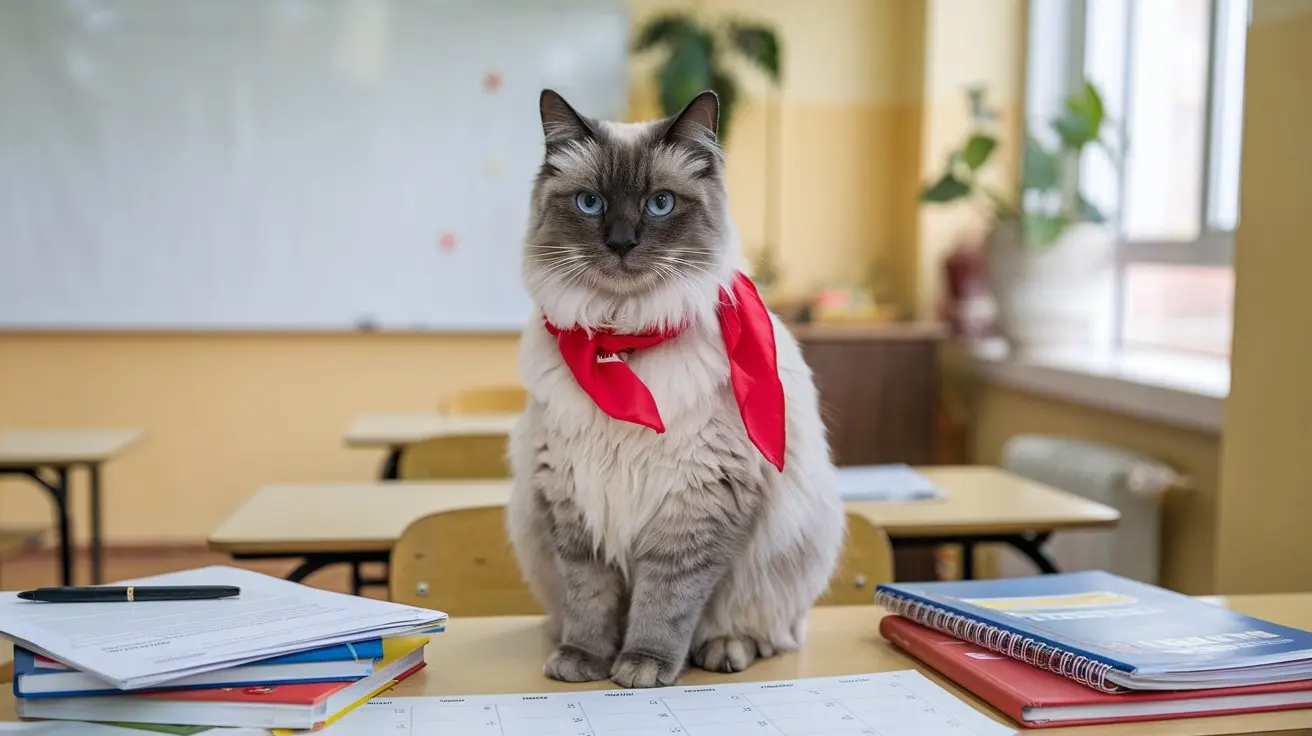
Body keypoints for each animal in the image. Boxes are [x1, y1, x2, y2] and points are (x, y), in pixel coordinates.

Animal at [506, 87, 844, 687]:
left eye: (660, 204)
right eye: (589, 204)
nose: (621, 242)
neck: (620, 341)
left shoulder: (697, 501)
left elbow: (665, 601)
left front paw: (642, 666)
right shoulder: (573, 498)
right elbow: (588, 598)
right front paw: (583, 661)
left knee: (766, 632)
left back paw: (722, 651)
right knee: (564, 610)